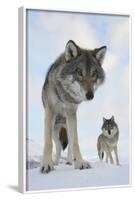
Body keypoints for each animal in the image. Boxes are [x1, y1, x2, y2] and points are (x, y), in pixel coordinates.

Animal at [40, 39, 106, 173]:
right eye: (79, 73)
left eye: (94, 74)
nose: (90, 95)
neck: (64, 95)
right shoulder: (50, 112)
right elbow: (48, 143)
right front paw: (47, 165)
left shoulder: (71, 113)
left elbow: (75, 142)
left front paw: (80, 163)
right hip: (55, 130)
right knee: (58, 146)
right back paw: (55, 162)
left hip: (68, 125)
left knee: (69, 144)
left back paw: (70, 161)